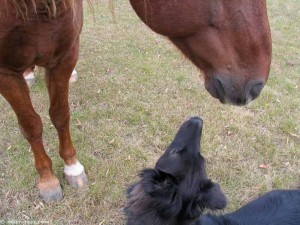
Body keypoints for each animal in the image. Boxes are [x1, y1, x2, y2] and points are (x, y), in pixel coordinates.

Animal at [0, 0, 272, 202]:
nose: (258, 85)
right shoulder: (6, 72)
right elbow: (31, 125)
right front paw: (48, 179)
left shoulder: (66, 56)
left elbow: (60, 114)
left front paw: (72, 166)